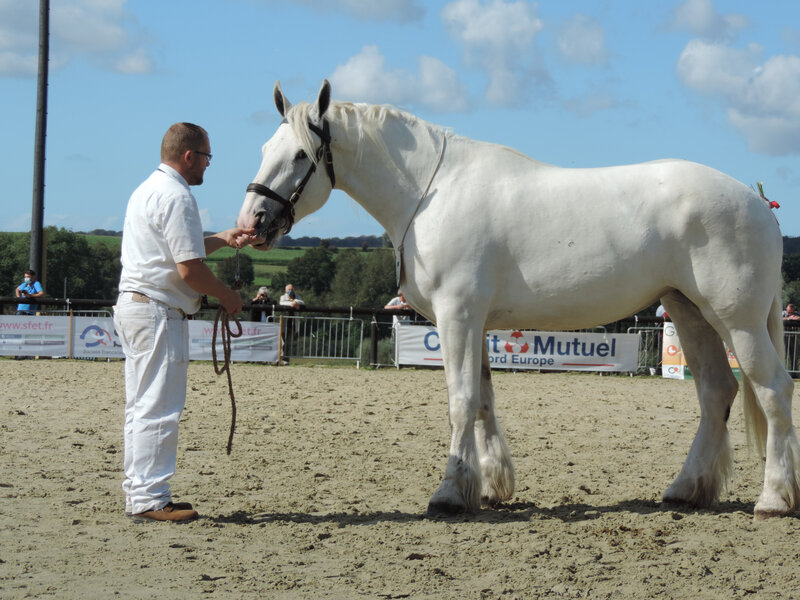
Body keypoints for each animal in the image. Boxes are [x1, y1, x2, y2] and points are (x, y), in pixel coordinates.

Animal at [238, 81, 800, 520]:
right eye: (263, 146)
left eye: (300, 154)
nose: (252, 223)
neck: (432, 192)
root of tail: (757, 202)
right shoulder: (475, 322)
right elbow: (484, 400)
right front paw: (488, 486)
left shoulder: (457, 316)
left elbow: (461, 401)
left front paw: (449, 494)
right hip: (688, 311)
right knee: (716, 392)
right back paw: (686, 489)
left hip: (738, 320)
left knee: (773, 389)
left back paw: (773, 499)